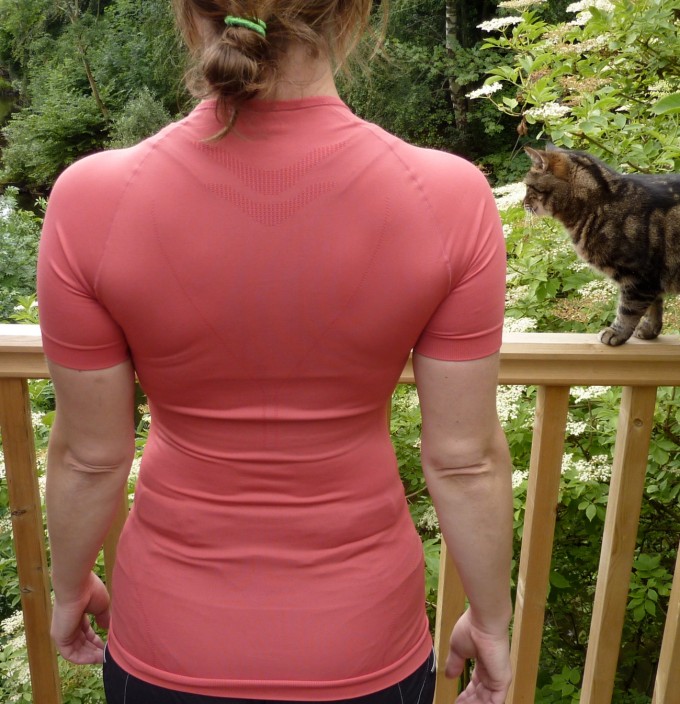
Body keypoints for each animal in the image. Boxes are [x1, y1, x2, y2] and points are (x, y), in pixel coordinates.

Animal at [523, 145, 680, 346]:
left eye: (528, 187)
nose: (523, 203)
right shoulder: (651, 279)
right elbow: (654, 306)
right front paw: (649, 330)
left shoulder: (639, 277)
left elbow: (628, 310)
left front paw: (616, 333)